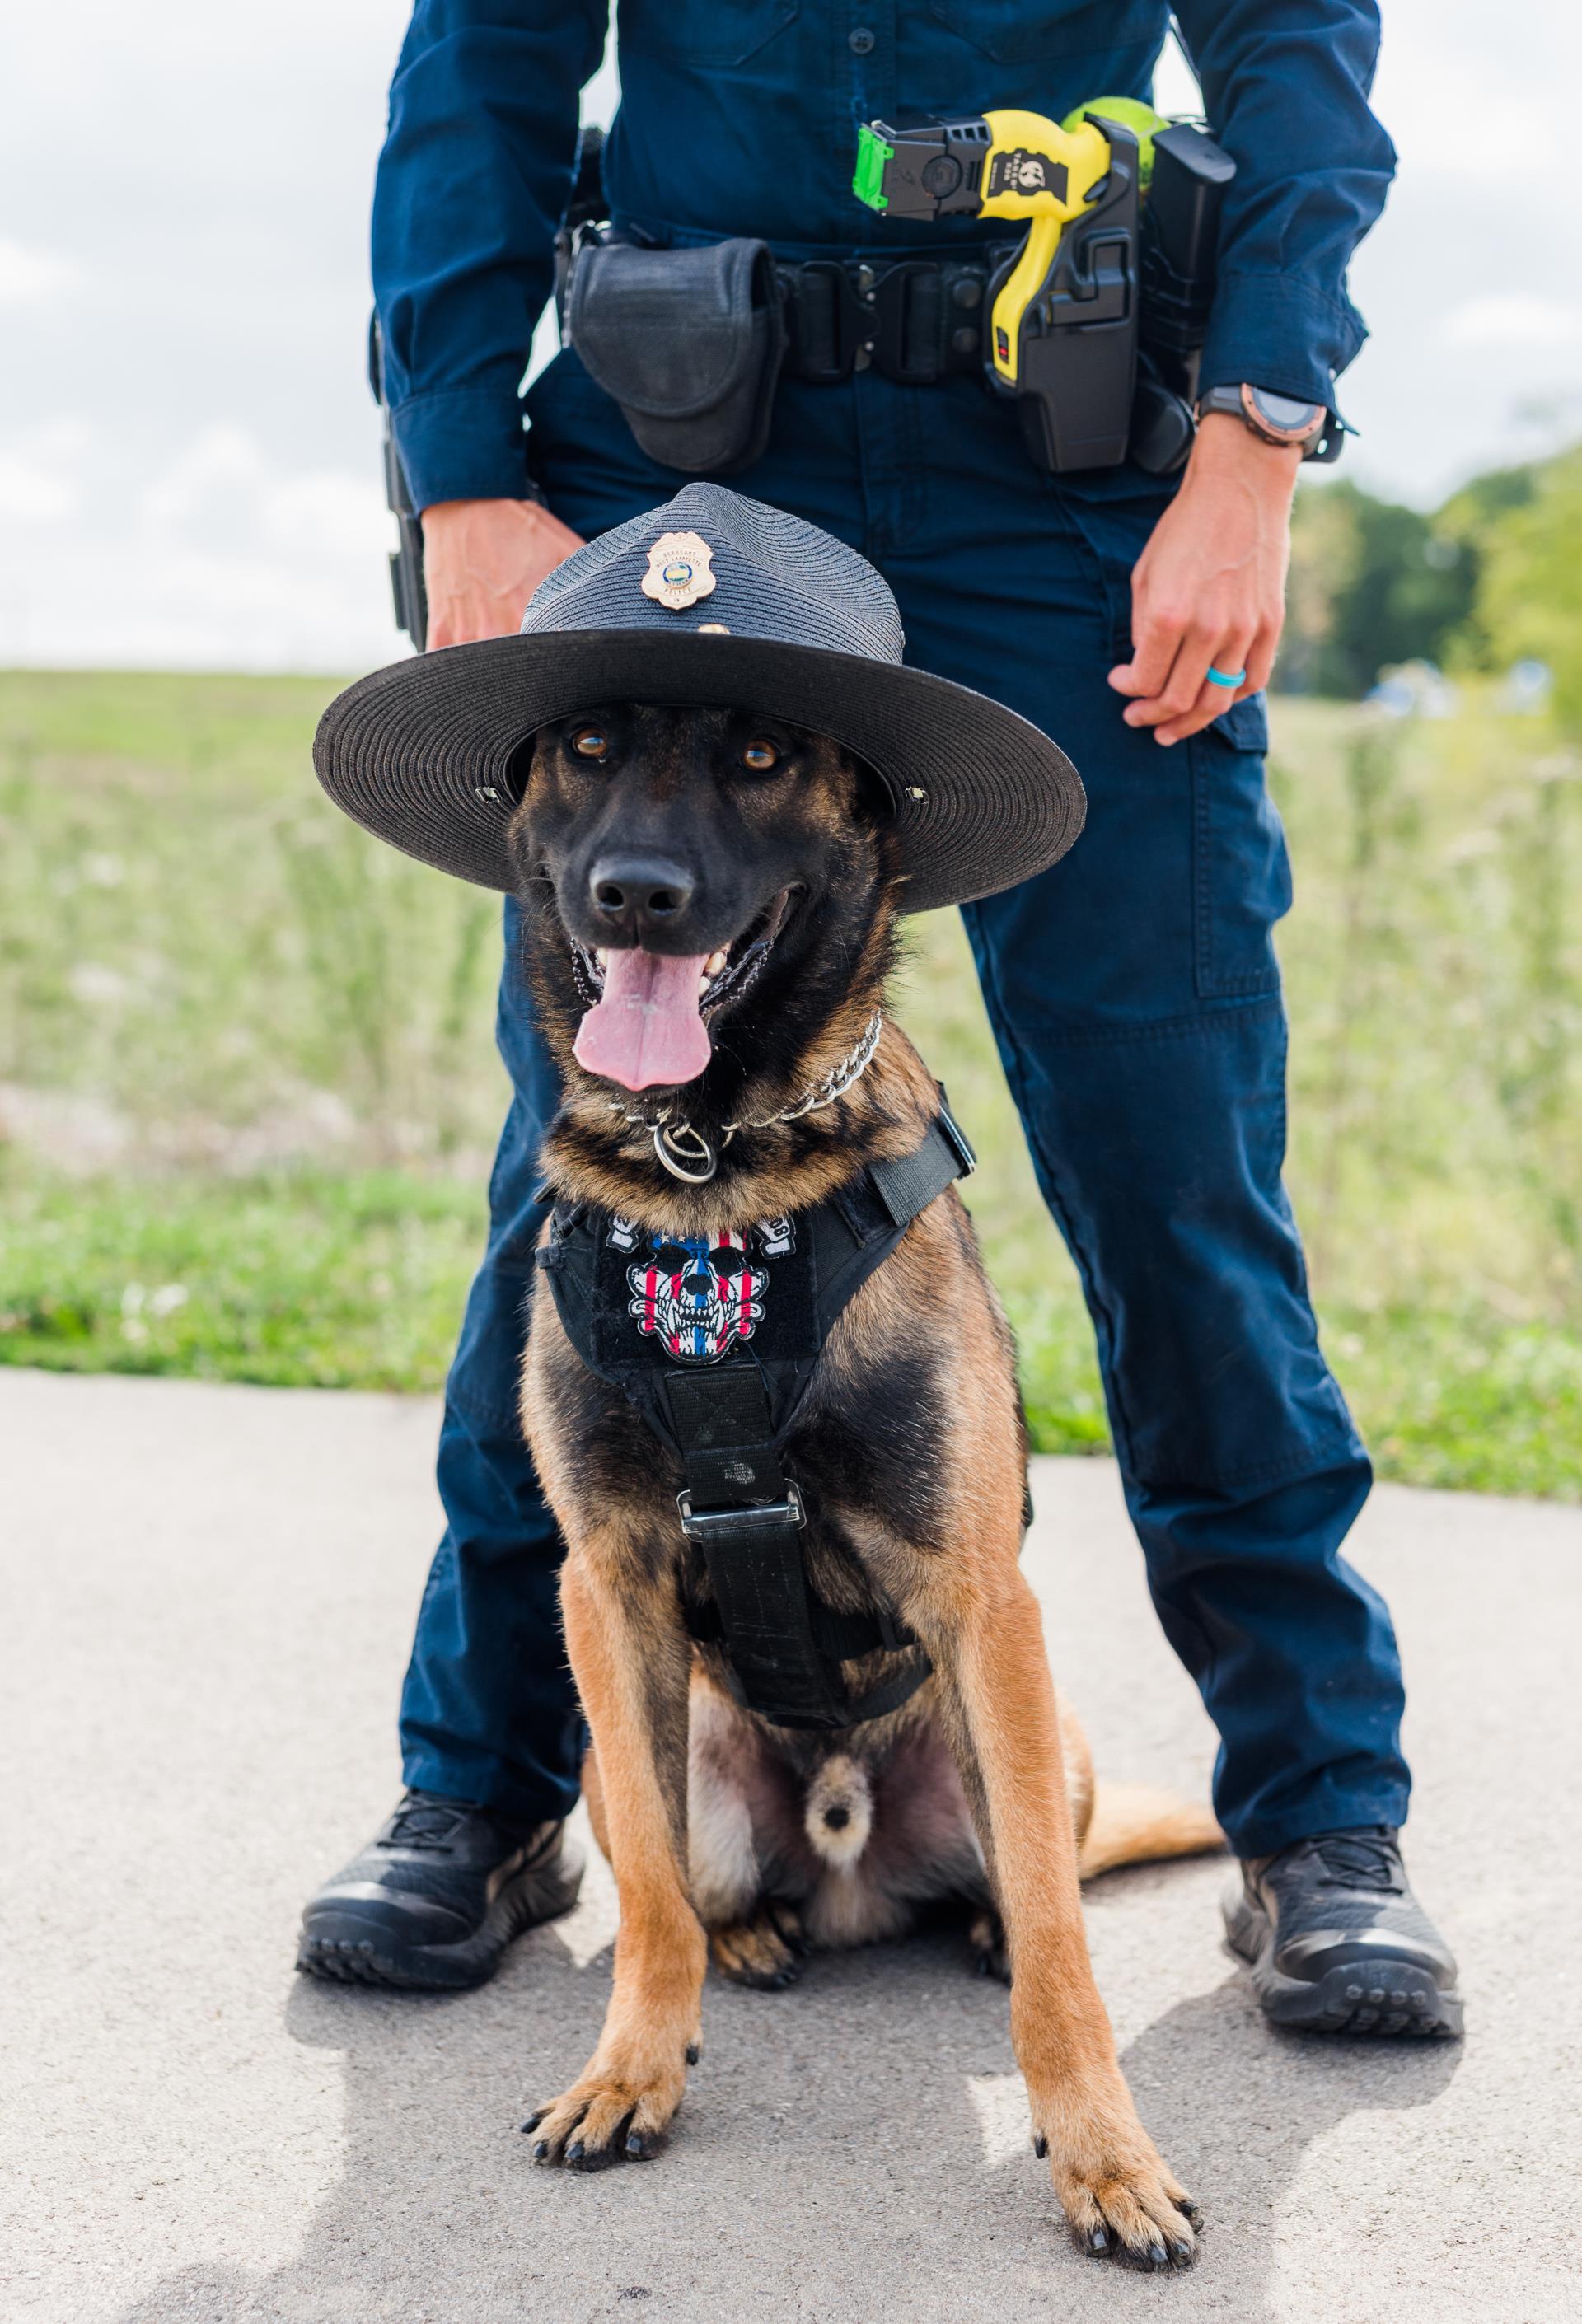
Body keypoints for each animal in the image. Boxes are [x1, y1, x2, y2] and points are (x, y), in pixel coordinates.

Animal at [511, 706, 1217, 2268]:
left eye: (762, 755)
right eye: (586, 741)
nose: (635, 893)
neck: (709, 1166)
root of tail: (845, 1867)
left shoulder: (981, 1605)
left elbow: (1062, 1953)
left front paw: (1105, 2155)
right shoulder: (609, 1589)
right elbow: (650, 1899)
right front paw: (631, 2072)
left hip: (1040, 1734)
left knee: (1035, 1881)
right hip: (638, 1759)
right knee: (686, 1876)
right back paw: (751, 1938)